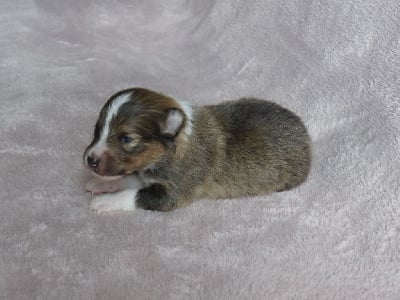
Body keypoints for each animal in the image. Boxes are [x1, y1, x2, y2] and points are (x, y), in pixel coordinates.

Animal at [82, 88, 312, 212]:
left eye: (127, 139)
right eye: (97, 129)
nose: (89, 160)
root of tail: (304, 131)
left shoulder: (174, 191)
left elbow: (134, 194)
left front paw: (104, 202)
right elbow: (128, 179)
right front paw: (100, 184)